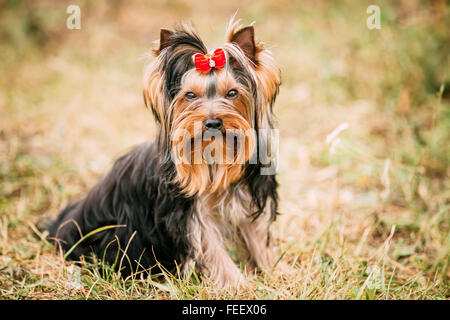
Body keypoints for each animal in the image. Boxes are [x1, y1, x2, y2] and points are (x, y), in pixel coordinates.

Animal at [49, 16, 282, 288]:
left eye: (233, 93)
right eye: (190, 95)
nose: (213, 122)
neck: (215, 156)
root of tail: (65, 223)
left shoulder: (248, 202)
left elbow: (258, 240)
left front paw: (276, 271)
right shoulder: (191, 218)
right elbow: (214, 252)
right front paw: (240, 285)